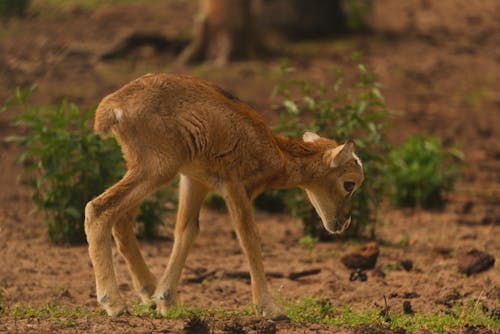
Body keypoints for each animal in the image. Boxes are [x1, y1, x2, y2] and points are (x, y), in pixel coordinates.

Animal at [84, 72, 362, 318]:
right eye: (349, 184)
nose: (344, 222)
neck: (275, 152)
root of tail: (112, 108)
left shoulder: (195, 180)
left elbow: (186, 231)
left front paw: (165, 301)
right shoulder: (236, 186)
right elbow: (249, 238)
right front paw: (271, 309)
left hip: (143, 168)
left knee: (122, 220)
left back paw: (147, 294)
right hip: (157, 168)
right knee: (98, 208)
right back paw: (114, 304)